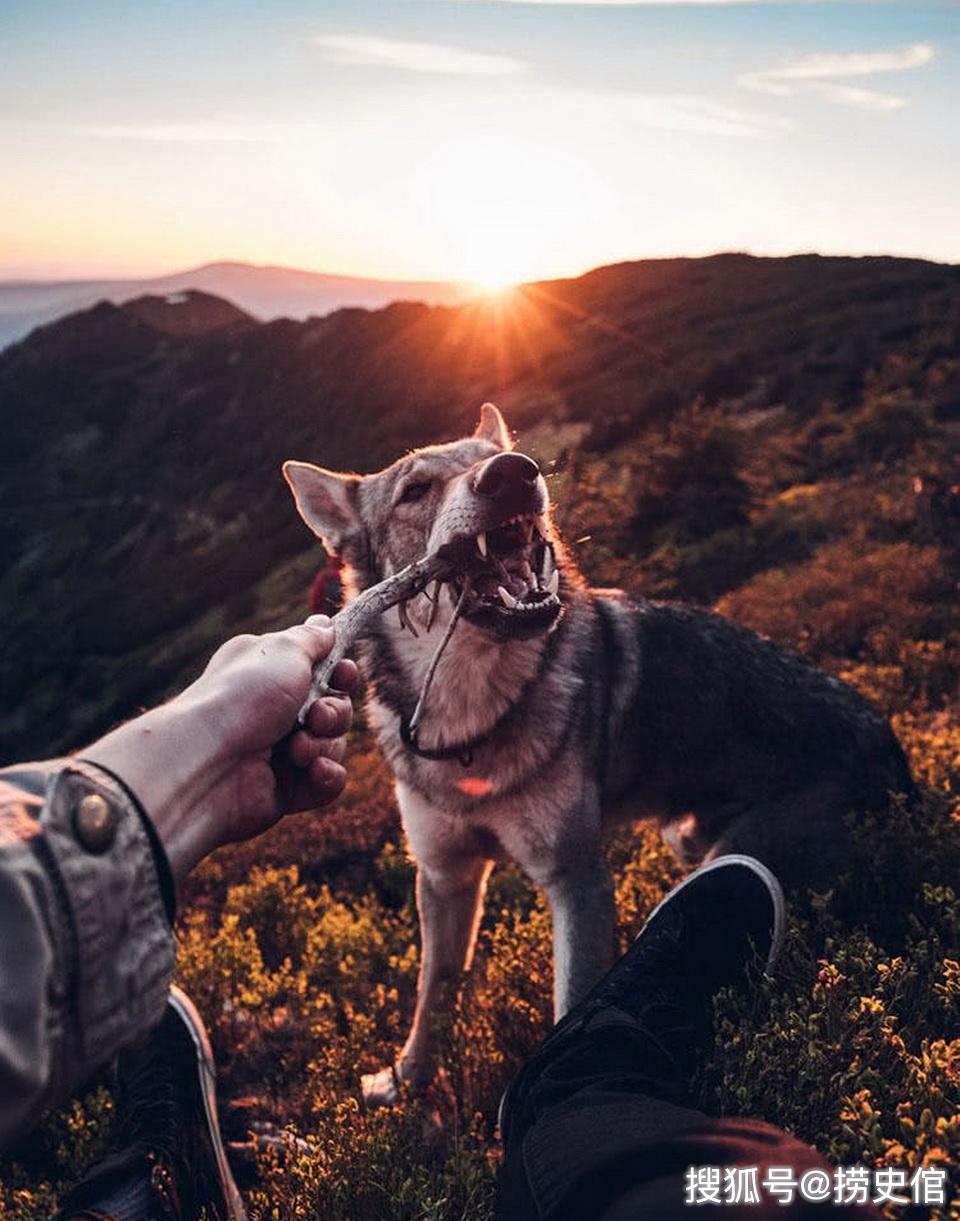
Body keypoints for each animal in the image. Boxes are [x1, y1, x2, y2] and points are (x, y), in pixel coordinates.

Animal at [280, 402, 908, 1108]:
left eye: (493, 458)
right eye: (415, 491)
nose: (513, 473)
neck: (471, 726)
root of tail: (895, 750)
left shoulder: (575, 878)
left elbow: (570, 1000)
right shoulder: (444, 875)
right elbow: (431, 993)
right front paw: (405, 1081)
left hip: (730, 847)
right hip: (684, 834)